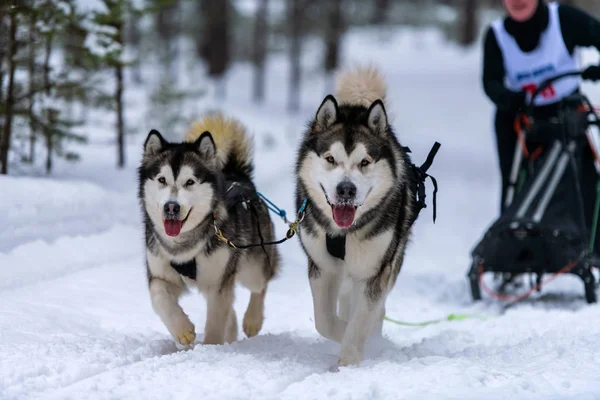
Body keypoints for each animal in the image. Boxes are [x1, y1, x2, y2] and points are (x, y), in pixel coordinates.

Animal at [138, 113, 278, 346]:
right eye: (162, 180)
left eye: (190, 182)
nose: (171, 207)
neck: (184, 245)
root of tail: (237, 176)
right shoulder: (160, 273)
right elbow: (159, 297)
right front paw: (182, 330)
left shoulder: (218, 282)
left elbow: (215, 319)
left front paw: (211, 346)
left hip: (252, 265)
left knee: (261, 285)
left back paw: (252, 320)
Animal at [294, 66, 418, 368]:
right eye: (330, 159)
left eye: (364, 162)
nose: (346, 190)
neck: (343, 234)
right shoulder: (321, 267)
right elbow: (325, 320)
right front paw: (341, 333)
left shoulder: (374, 271)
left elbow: (362, 320)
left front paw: (350, 362)